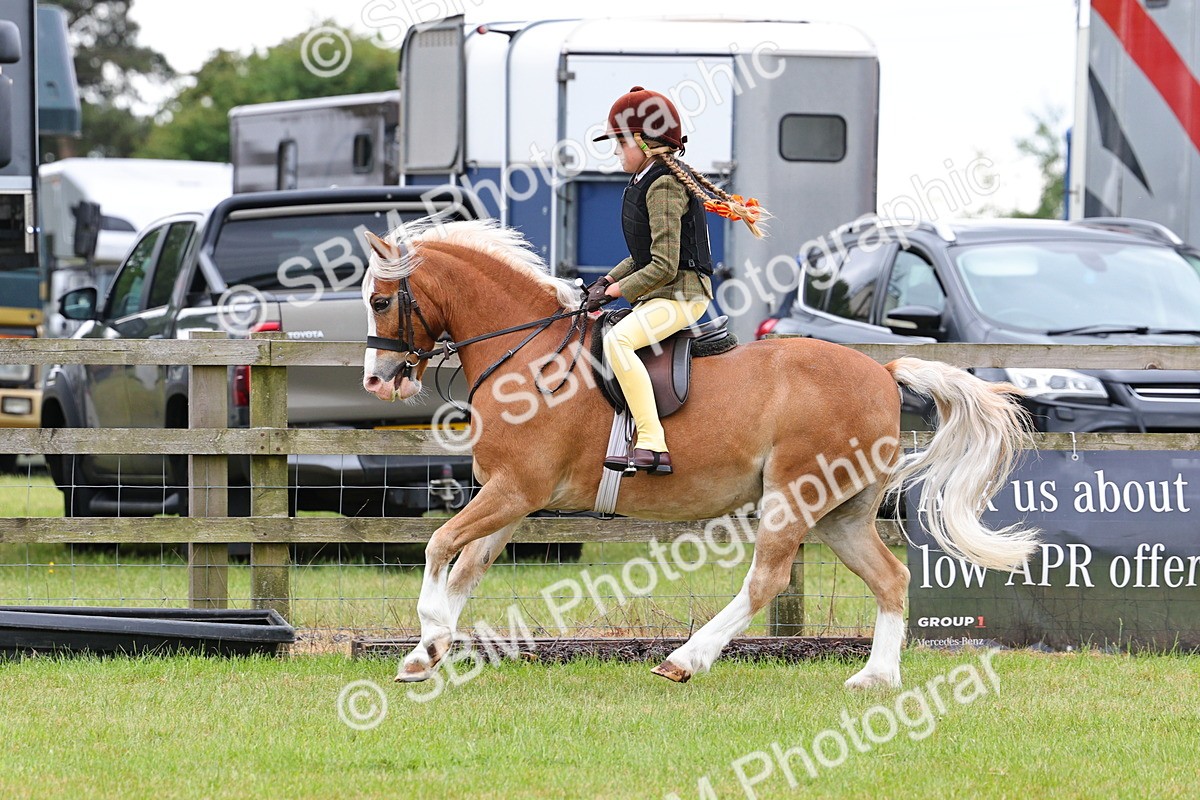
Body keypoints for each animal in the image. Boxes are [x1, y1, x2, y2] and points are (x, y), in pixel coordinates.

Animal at [359, 218, 1038, 689]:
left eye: (379, 300)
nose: (377, 381)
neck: (528, 355)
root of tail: (884, 372)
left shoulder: (514, 490)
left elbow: (438, 546)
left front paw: (429, 636)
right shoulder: (516, 498)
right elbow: (468, 566)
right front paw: (426, 654)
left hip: (795, 495)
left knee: (767, 580)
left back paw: (685, 660)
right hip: (840, 513)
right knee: (890, 577)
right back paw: (877, 677)